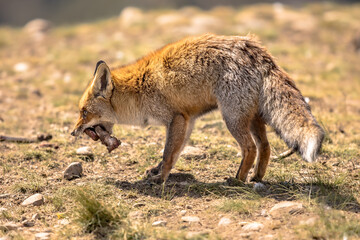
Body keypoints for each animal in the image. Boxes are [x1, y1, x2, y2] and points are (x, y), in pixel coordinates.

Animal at [71, 33, 324, 183]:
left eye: (84, 113)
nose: (72, 132)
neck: (139, 89)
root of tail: (255, 49)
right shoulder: (188, 120)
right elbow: (173, 154)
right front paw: (158, 171)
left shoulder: (176, 119)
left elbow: (168, 154)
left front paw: (160, 180)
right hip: (252, 117)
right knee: (265, 147)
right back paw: (256, 177)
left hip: (232, 118)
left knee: (250, 148)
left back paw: (237, 180)